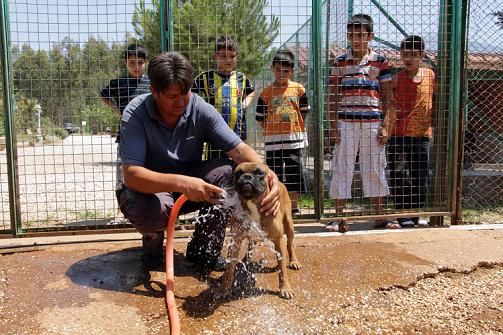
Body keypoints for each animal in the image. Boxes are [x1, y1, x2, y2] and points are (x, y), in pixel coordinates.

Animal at [219, 161, 302, 300]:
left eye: (259, 173)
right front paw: (224, 289)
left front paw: (285, 288)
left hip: (289, 226)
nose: (247, 176)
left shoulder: (279, 239)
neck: (253, 204)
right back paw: (245, 260)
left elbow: (282, 270)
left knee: (289, 245)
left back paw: (294, 261)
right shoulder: (236, 240)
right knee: (250, 246)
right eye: (238, 173)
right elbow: (230, 267)